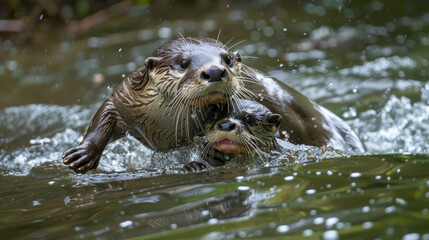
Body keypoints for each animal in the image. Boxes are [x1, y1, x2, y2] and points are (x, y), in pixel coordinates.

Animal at [61, 36, 362, 173]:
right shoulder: (125, 97)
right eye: (183, 62)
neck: (163, 126)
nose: (215, 71)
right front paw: (82, 155)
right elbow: (104, 115)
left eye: (227, 59)